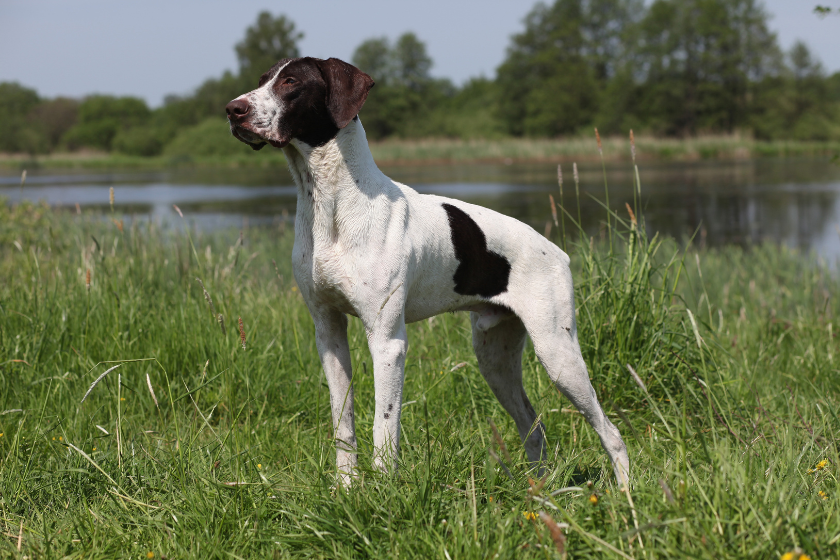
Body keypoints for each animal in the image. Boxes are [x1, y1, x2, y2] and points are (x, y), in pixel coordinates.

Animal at [225, 57, 632, 486]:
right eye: (261, 80)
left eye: (290, 81)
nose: (233, 110)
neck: (333, 208)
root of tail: (558, 252)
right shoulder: (329, 333)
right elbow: (343, 424)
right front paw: (347, 489)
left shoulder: (387, 341)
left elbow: (384, 426)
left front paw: (383, 490)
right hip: (496, 360)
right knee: (533, 426)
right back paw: (539, 489)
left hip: (558, 354)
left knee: (611, 432)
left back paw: (624, 492)